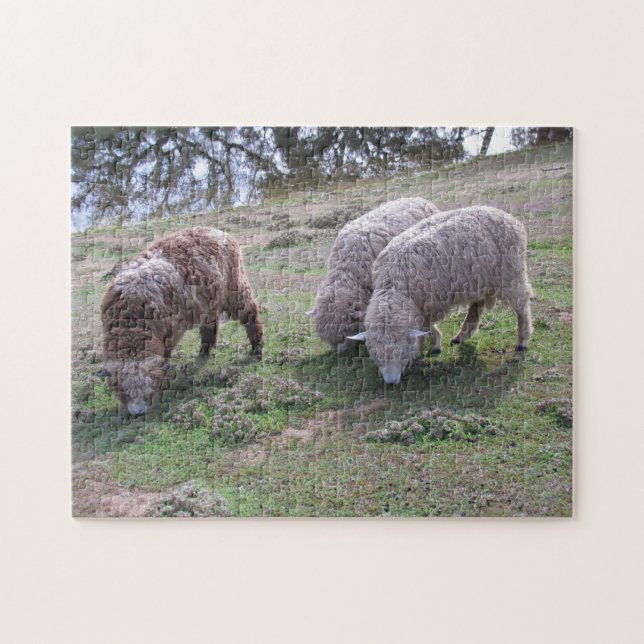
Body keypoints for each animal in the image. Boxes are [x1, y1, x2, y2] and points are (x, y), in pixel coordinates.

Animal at [99, 227, 263, 415]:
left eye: (149, 390)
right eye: (123, 391)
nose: (139, 413)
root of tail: (217, 230)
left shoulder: (170, 331)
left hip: (235, 289)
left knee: (250, 313)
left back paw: (257, 347)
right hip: (209, 301)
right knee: (210, 325)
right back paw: (204, 351)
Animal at [347, 206, 533, 384]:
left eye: (402, 353)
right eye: (375, 355)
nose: (391, 382)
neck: (394, 285)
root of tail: (507, 216)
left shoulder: (429, 303)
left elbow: (427, 326)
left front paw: (433, 345)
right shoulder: (422, 307)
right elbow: (426, 327)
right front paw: (433, 344)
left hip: (510, 273)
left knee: (522, 305)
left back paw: (522, 340)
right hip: (479, 280)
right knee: (476, 306)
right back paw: (462, 335)